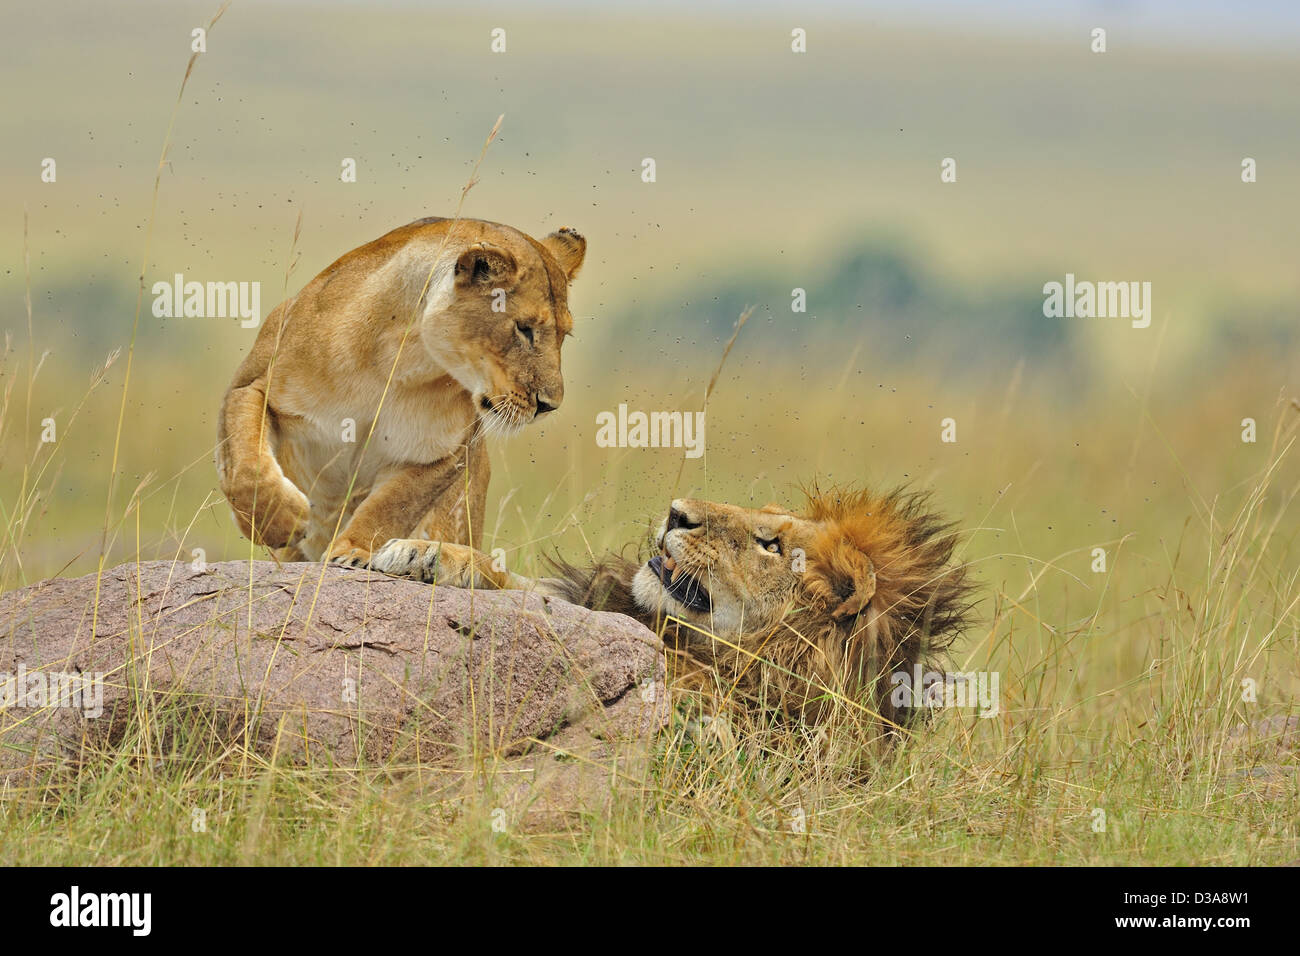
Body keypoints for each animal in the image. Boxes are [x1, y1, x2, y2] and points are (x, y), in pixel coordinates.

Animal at [216, 216, 586, 564]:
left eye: (563, 335)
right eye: (524, 328)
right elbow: (246, 464)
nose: (549, 405)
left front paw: (352, 551)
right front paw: (278, 524)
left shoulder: (446, 452)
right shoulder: (250, 386)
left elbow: (393, 504)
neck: (400, 361)